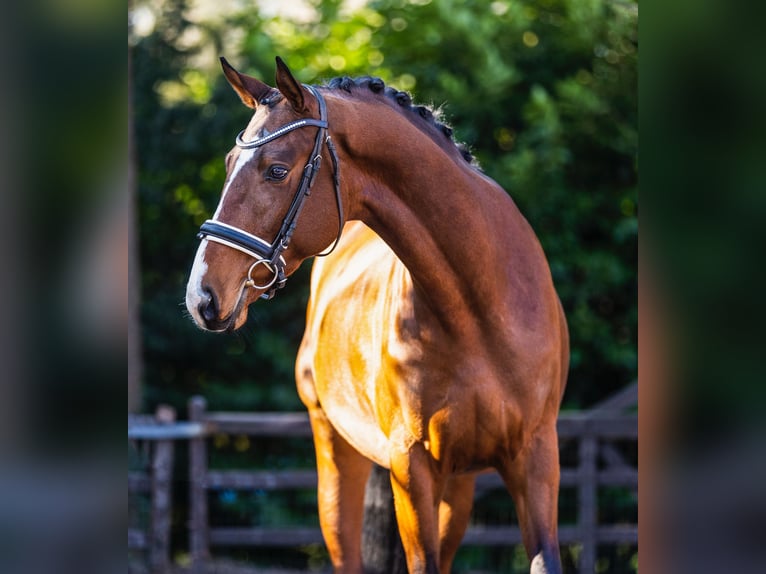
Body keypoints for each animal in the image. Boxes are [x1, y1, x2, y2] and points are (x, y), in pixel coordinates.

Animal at [186, 55, 568, 574]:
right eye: (228, 164)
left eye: (277, 170)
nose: (201, 296)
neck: (479, 310)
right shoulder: (412, 466)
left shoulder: (536, 456)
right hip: (335, 455)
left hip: (460, 482)